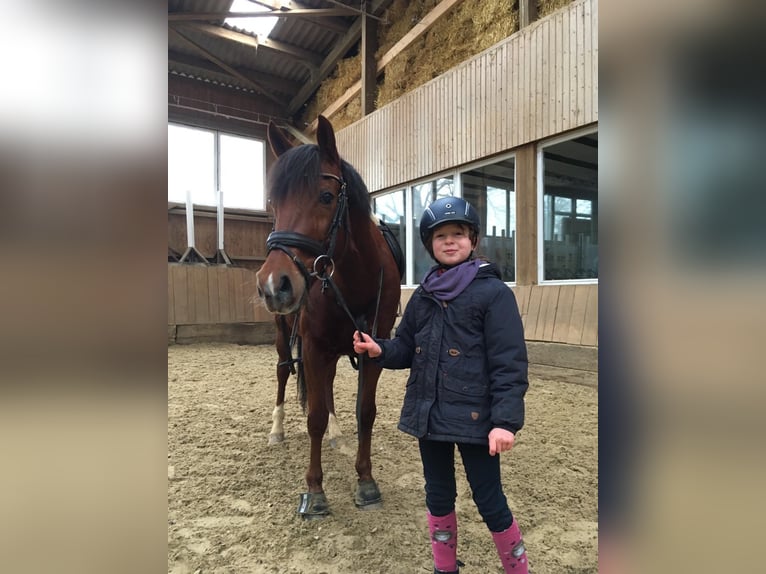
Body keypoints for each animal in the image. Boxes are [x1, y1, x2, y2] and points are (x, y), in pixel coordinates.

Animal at [256, 115, 401, 518]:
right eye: (274, 203)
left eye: (326, 197)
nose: (273, 284)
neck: (354, 279)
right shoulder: (313, 345)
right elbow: (314, 417)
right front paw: (315, 490)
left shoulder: (373, 347)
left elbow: (365, 411)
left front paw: (366, 481)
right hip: (284, 337)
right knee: (282, 372)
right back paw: (276, 430)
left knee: (330, 385)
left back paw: (337, 434)